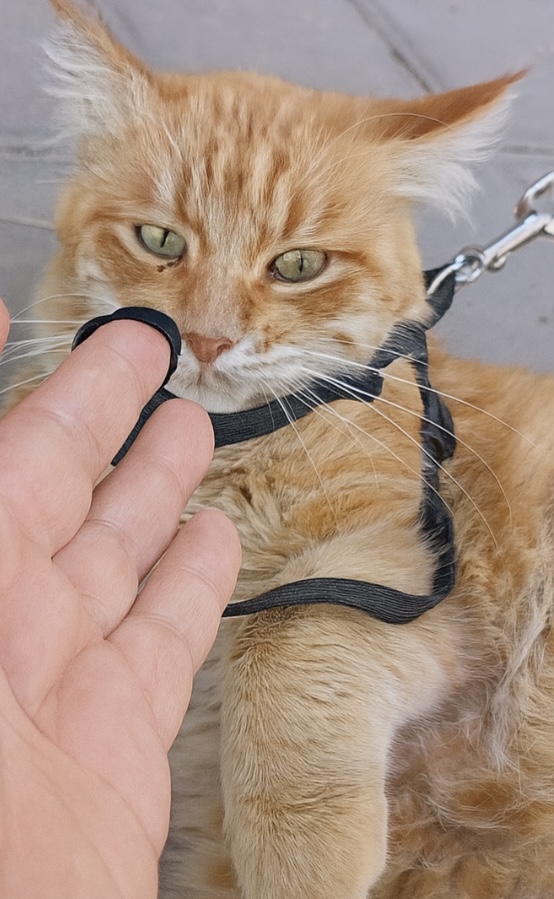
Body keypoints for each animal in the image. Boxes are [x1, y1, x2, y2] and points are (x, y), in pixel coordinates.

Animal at [6, 1, 554, 897]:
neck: (227, 453)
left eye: (298, 264)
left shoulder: (406, 573)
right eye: (160, 240)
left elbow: (285, 633)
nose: (206, 339)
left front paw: (302, 856)